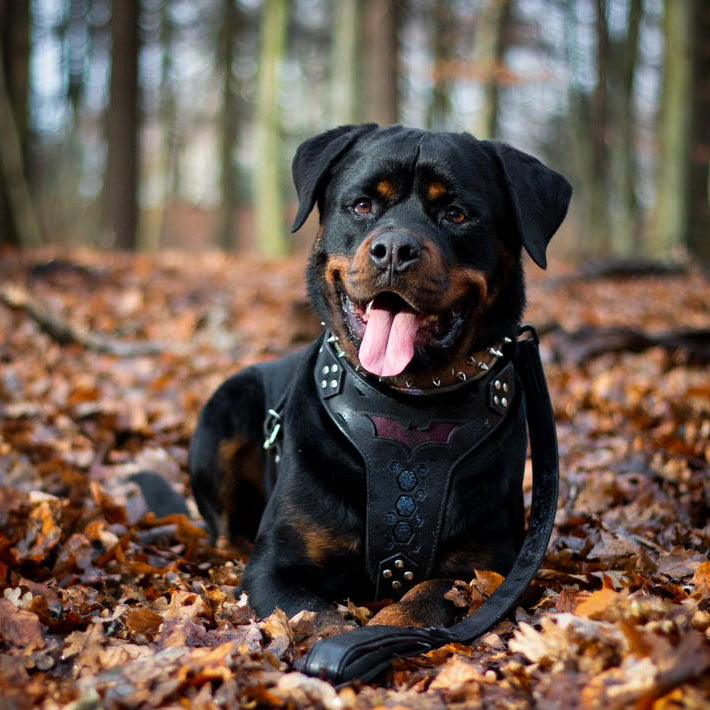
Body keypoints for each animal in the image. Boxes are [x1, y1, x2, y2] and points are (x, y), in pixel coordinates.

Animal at [189, 126, 572, 628]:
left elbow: (426, 597)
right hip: (223, 416)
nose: (394, 250)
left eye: (456, 213)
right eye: (362, 205)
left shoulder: (492, 566)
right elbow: (321, 621)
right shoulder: (275, 567)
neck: (408, 401)